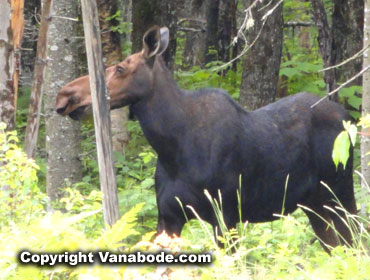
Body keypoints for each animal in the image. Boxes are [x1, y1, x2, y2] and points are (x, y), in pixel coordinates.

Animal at [56, 25, 356, 252]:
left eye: (120, 68)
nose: (65, 95)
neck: (172, 148)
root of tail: (347, 118)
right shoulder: (168, 217)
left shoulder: (227, 216)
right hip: (315, 205)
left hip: (340, 196)